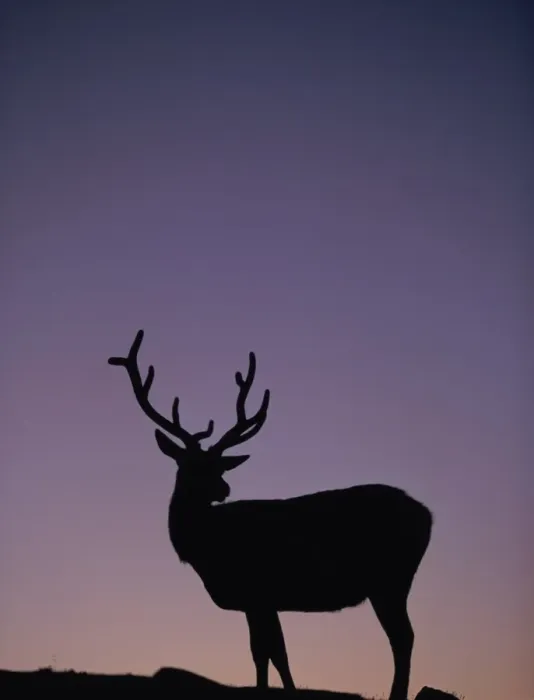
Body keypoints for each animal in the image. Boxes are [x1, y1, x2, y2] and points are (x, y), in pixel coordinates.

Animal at [108, 330, 433, 700]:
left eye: (219, 466)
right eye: (192, 465)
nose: (224, 488)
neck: (207, 547)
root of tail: (428, 516)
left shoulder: (258, 589)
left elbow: (269, 653)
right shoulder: (261, 601)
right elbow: (269, 654)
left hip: (390, 578)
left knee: (403, 638)